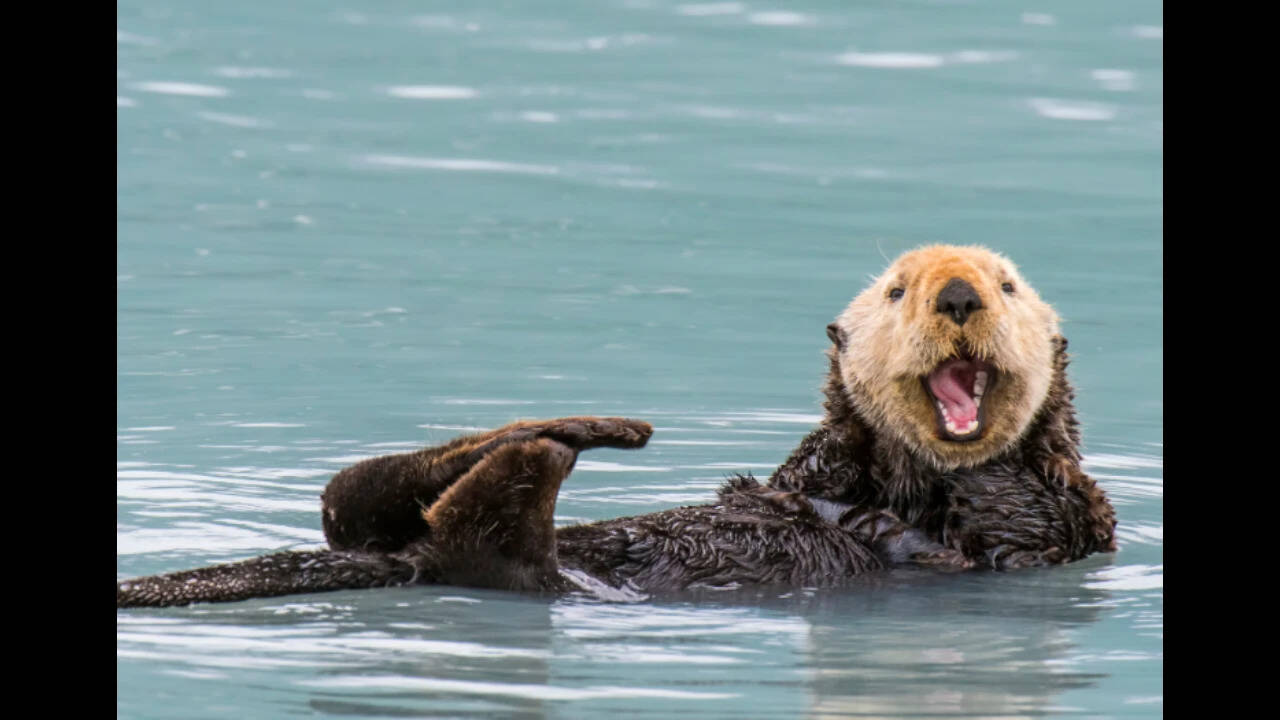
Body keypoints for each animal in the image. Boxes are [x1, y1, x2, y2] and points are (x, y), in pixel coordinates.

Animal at [116, 246, 1115, 608]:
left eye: (1008, 285)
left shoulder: (1065, 522)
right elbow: (795, 479)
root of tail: (402, 560)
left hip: (525, 573)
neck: (906, 478)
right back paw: (576, 428)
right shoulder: (811, 472)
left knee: (466, 535)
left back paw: (552, 447)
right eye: (899, 291)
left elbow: (1012, 515)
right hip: (396, 529)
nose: (958, 296)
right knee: (352, 497)